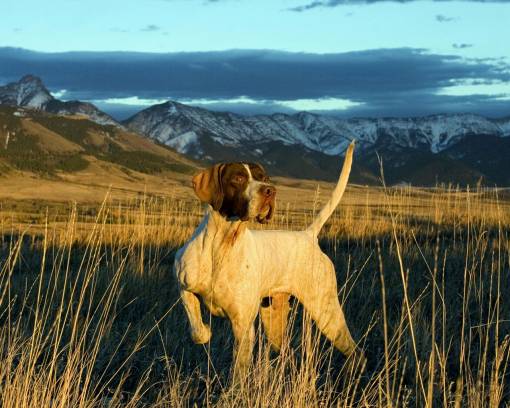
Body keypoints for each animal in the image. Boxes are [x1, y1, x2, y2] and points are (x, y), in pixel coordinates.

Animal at [174, 142, 362, 378]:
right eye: (238, 178)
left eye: (263, 177)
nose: (270, 191)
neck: (222, 245)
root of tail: (308, 236)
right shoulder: (184, 286)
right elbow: (197, 331)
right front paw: (205, 332)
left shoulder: (243, 326)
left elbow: (238, 374)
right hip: (275, 319)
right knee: (288, 352)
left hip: (326, 311)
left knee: (356, 351)